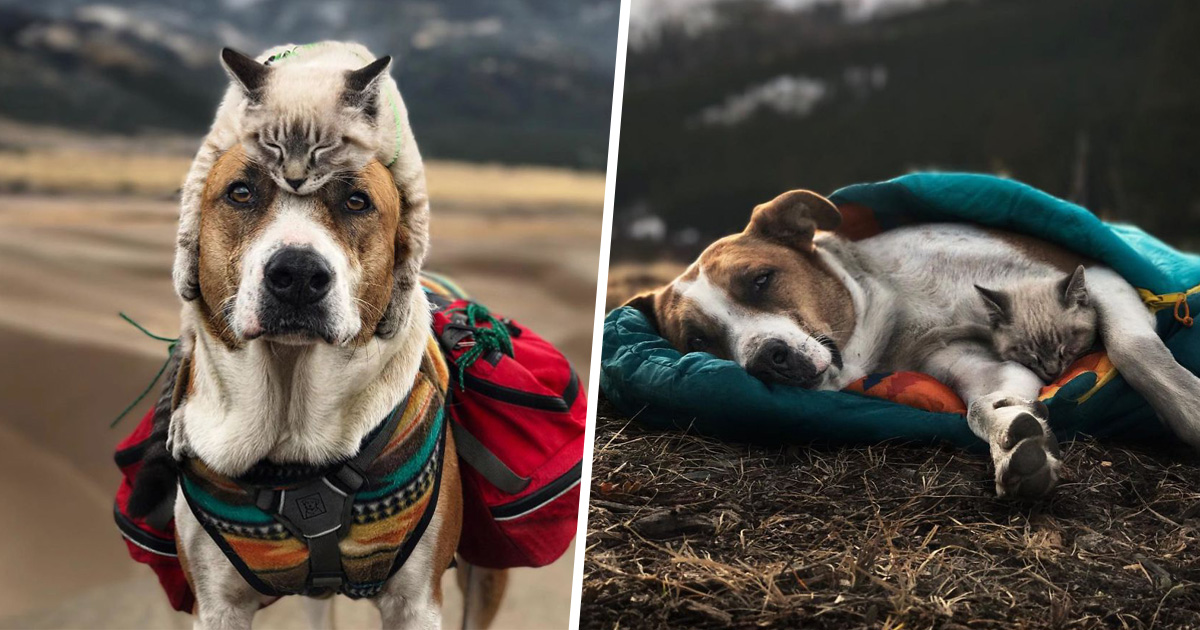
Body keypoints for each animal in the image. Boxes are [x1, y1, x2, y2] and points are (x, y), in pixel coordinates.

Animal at [166, 146, 504, 624]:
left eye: (357, 201)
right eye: (241, 192)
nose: (297, 273)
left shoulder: (417, 602)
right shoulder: (216, 605)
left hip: (486, 575)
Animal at [624, 189, 1200, 499]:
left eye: (761, 280)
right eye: (698, 340)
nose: (767, 358)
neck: (893, 300)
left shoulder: (1098, 274)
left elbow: (1133, 349)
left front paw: (1190, 411)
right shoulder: (972, 364)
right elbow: (983, 407)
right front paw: (1014, 439)